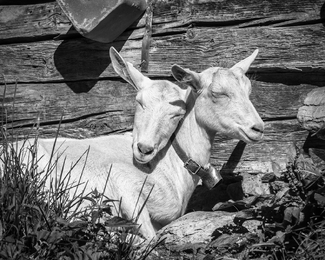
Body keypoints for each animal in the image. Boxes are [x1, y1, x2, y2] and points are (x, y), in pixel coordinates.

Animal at [0, 47, 264, 239]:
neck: (170, 163)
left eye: (177, 114)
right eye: (217, 93)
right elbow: (149, 240)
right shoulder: (122, 182)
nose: (258, 127)